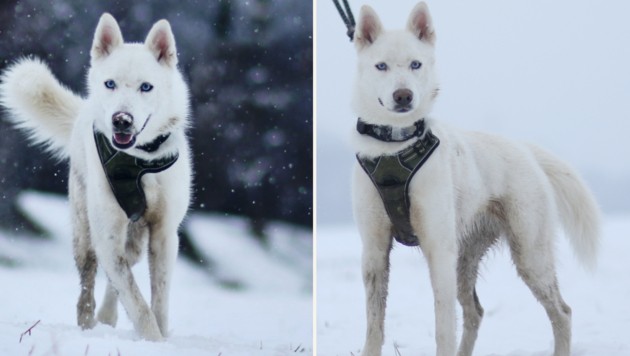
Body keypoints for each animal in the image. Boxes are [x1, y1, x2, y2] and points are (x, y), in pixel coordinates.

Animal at [0, 14, 193, 342]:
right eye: (110, 84)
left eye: (146, 87)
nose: (121, 120)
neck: (138, 161)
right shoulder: (107, 237)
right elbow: (137, 302)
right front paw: (152, 339)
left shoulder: (165, 235)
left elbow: (157, 299)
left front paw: (162, 337)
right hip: (84, 231)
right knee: (88, 283)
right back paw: (90, 324)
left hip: (134, 241)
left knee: (124, 268)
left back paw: (106, 316)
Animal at [350, 2, 604, 356]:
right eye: (381, 66)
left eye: (416, 64)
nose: (403, 96)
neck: (395, 146)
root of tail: (524, 148)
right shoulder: (374, 250)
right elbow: (374, 327)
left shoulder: (438, 249)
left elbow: (443, 327)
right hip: (466, 257)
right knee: (475, 312)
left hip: (529, 253)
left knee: (561, 312)